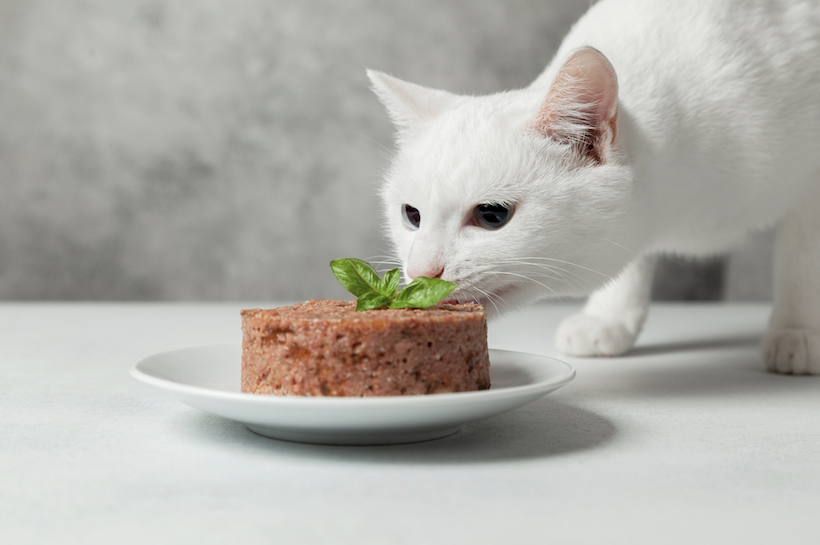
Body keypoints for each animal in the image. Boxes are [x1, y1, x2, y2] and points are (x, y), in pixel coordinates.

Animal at [368, 0, 820, 374]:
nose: (420, 271)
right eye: (411, 215)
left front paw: (799, 330)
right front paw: (610, 316)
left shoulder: (810, 192)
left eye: (492, 215)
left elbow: (801, 261)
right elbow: (630, 263)